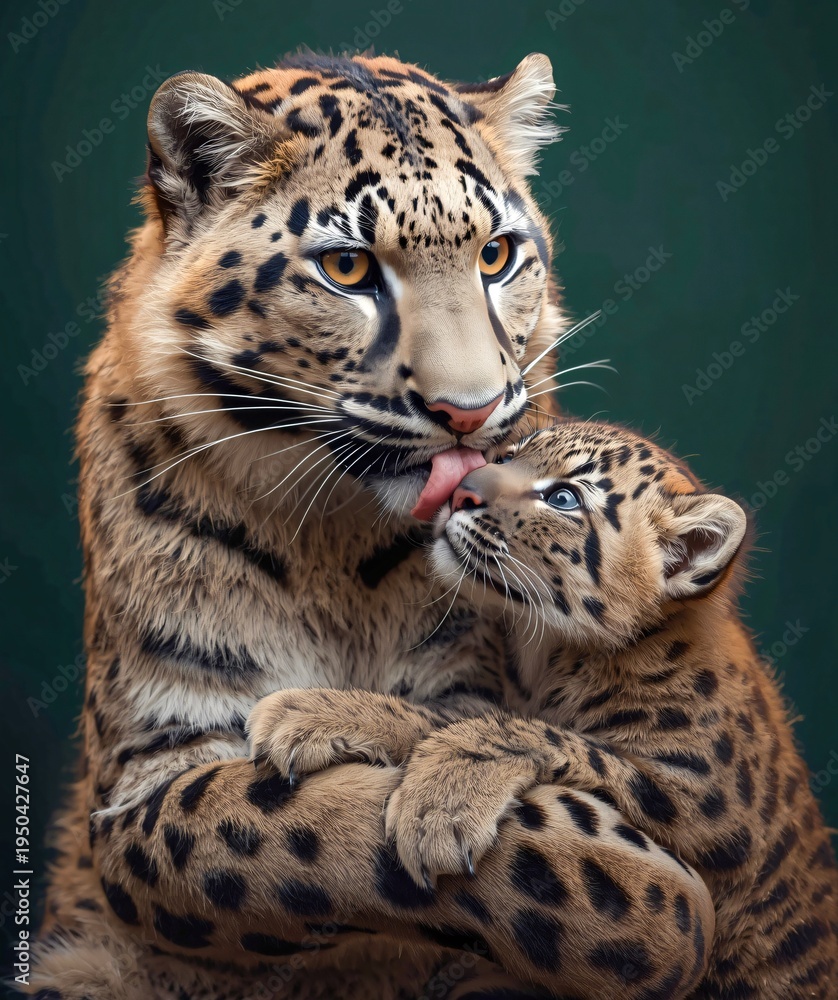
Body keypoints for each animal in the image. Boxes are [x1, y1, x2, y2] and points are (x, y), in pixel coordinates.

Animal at [28, 51, 715, 1000]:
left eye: (496, 255)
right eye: (348, 269)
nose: (469, 414)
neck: (331, 539)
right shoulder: (143, 772)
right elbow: (289, 826)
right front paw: (655, 910)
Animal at [250, 420, 838, 998]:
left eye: (563, 498)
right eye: (509, 454)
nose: (461, 490)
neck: (546, 657)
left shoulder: (702, 807)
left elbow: (562, 740)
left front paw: (440, 804)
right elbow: (453, 712)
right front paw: (312, 710)